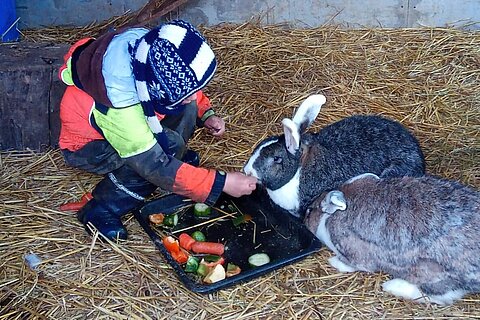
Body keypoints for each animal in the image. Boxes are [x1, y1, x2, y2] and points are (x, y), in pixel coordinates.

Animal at [304, 172, 480, 304]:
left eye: (309, 211)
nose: (304, 219)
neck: (331, 217)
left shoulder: (353, 253)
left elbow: (353, 264)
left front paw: (333, 261)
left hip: (431, 274)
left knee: (438, 296)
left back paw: (391, 286)